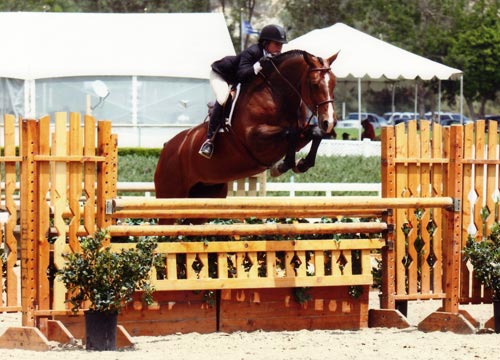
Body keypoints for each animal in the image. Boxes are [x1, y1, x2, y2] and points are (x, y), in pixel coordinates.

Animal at [154, 49, 338, 198]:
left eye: (334, 83)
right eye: (314, 84)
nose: (329, 121)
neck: (275, 95)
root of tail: (167, 146)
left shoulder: (300, 134)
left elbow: (315, 133)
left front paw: (302, 164)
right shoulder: (255, 139)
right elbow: (290, 132)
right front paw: (281, 166)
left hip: (207, 192)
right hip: (170, 193)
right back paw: (207, 147)